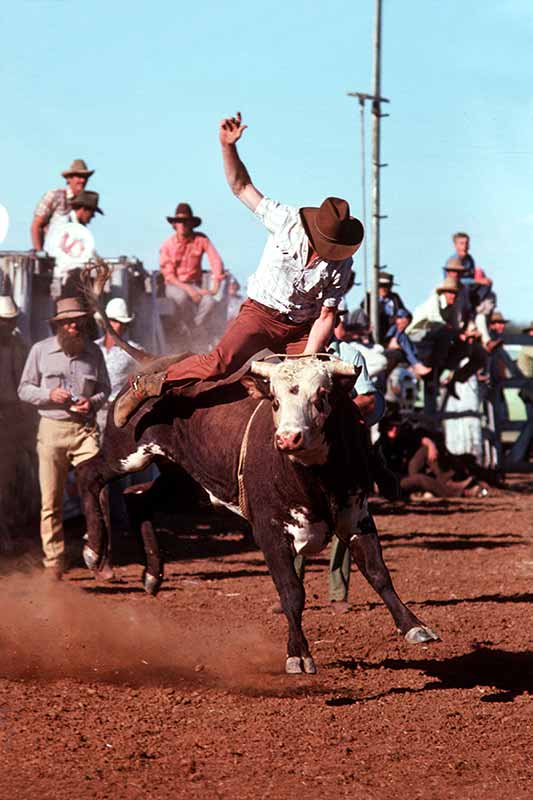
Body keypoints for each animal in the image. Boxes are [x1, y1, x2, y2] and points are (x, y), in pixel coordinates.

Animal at [77, 270, 438, 676]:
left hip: (185, 480)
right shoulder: (268, 528)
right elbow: (291, 591)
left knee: (138, 500)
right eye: (276, 401)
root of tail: (156, 363)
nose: (288, 437)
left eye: (322, 398)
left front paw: (414, 626)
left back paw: (152, 575)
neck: (316, 481)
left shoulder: (355, 513)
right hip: (127, 452)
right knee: (89, 474)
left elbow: (377, 571)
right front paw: (299, 654)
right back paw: (93, 551)